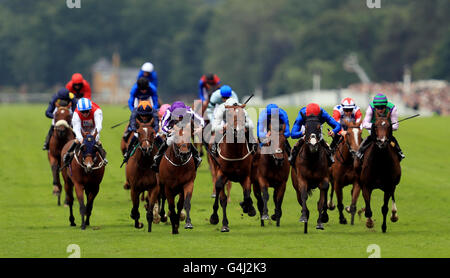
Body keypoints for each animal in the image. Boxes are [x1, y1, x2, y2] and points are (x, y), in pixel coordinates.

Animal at [209, 103, 255, 231]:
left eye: (243, 115)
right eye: (228, 115)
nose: (236, 131)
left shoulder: (245, 175)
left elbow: (247, 193)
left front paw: (248, 207)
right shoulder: (222, 173)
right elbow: (221, 196)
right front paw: (221, 221)